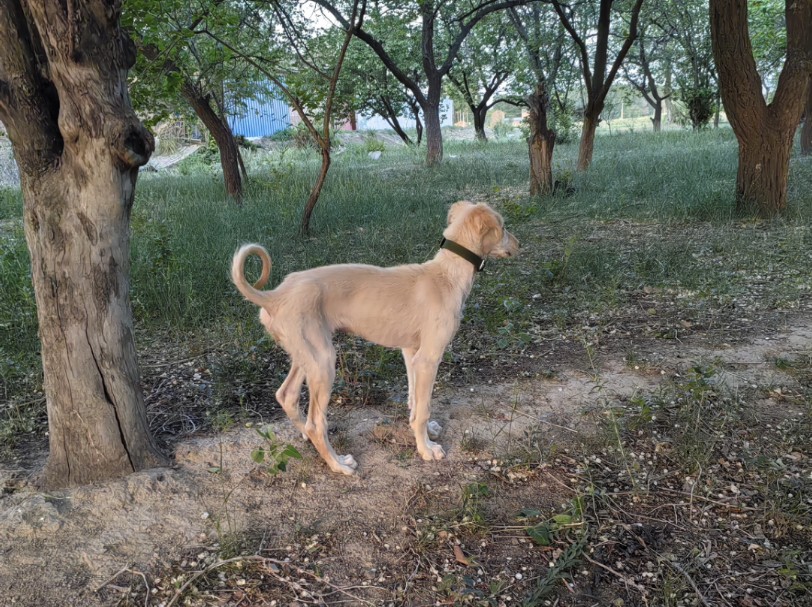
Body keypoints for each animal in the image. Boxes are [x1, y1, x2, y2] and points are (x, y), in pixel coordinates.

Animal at [230, 201, 520, 476]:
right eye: (504, 227)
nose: (519, 245)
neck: (447, 275)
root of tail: (274, 296)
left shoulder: (411, 353)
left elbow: (415, 401)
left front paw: (424, 432)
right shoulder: (429, 358)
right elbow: (424, 407)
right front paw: (426, 449)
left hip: (307, 355)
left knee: (287, 396)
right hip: (323, 361)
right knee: (316, 423)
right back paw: (339, 465)